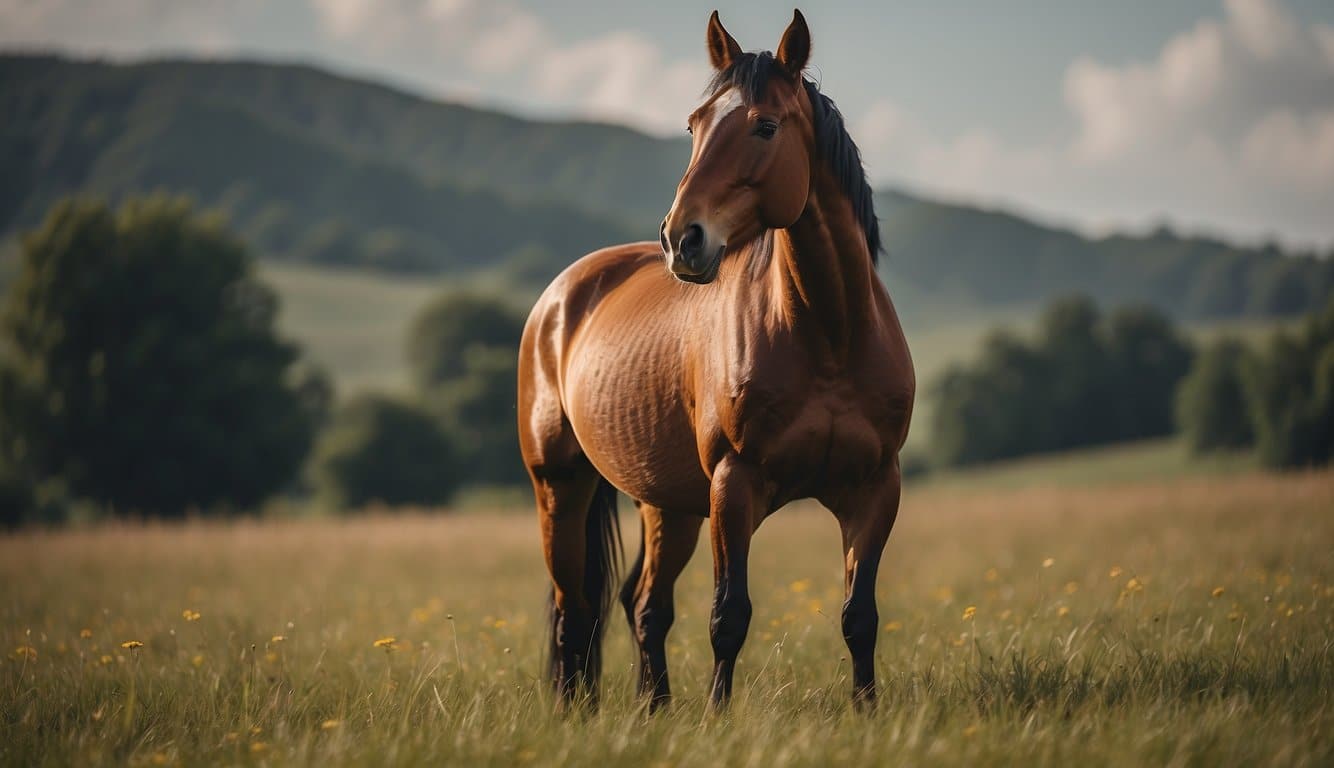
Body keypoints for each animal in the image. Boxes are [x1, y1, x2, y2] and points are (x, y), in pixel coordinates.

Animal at [520, 9, 917, 709]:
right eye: (694, 125)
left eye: (765, 124)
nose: (682, 239)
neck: (831, 335)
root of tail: (559, 300)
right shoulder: (735, 485)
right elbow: (728, 615)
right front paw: (717, 713)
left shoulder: (875, 489)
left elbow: (859, 616)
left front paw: (869, 711)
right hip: (560, 487)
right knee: (574, 611)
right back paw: (576, 711)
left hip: (668, 503)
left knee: (642, 604)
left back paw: (652, 708)